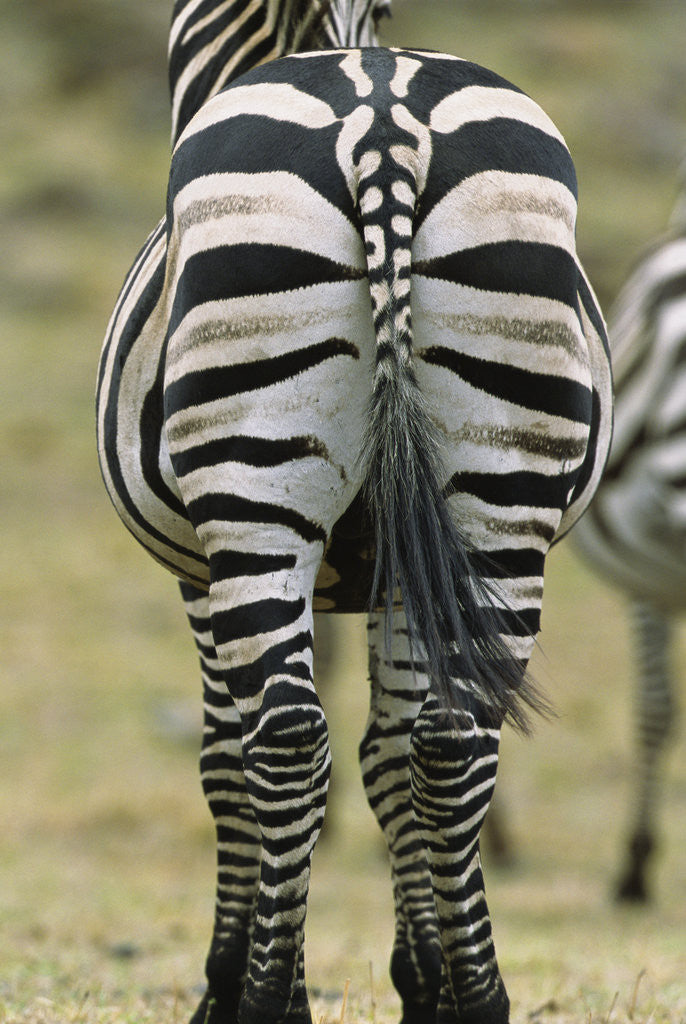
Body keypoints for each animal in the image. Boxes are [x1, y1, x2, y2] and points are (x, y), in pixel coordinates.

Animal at [96, 1, 613, 1021]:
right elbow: (388, 754)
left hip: (251, 489)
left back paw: (265, 1000)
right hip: (499, 493)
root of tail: (382, 116)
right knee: (453, 742)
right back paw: (481, 997)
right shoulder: (404, 574)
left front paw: (230, 981)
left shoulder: (195, 571)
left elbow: (227, 762)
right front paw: (427, 982)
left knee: (286, 742)